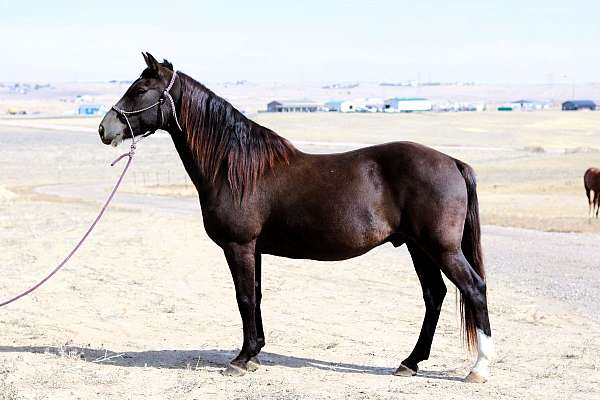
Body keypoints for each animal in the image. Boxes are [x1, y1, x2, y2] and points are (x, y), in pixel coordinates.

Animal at [97, 52, 492, 382]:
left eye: (140, 89)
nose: (104, 128)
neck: (235, 167)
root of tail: (452, 162)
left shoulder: (239, 246)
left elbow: (244, 298)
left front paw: (241, 359)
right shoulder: (254, 248)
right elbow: (256, 295)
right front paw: (255, 352)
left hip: (439, 247)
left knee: (474, 288)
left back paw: (479, 368)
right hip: (417, 247)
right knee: (434, 295)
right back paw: (409, 362)